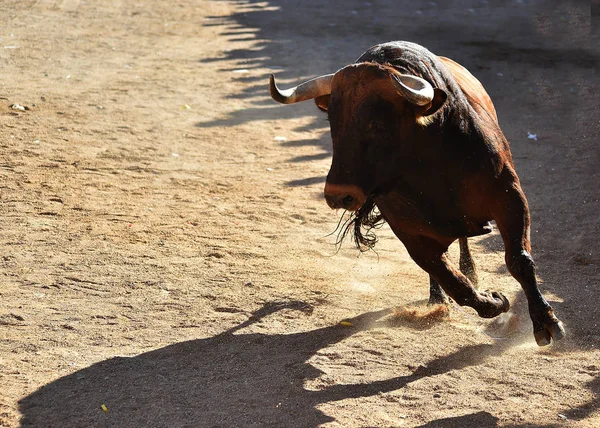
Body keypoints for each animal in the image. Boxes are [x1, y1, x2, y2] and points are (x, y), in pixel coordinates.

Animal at [270, 40, 564, 346]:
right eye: (332, 119)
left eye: (378, 123)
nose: (339, 195)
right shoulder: (410, 233)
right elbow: (454, 282)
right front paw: (494, 300)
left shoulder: (508, 197)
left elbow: (519, 260)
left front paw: (545, 321)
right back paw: (439, 296)